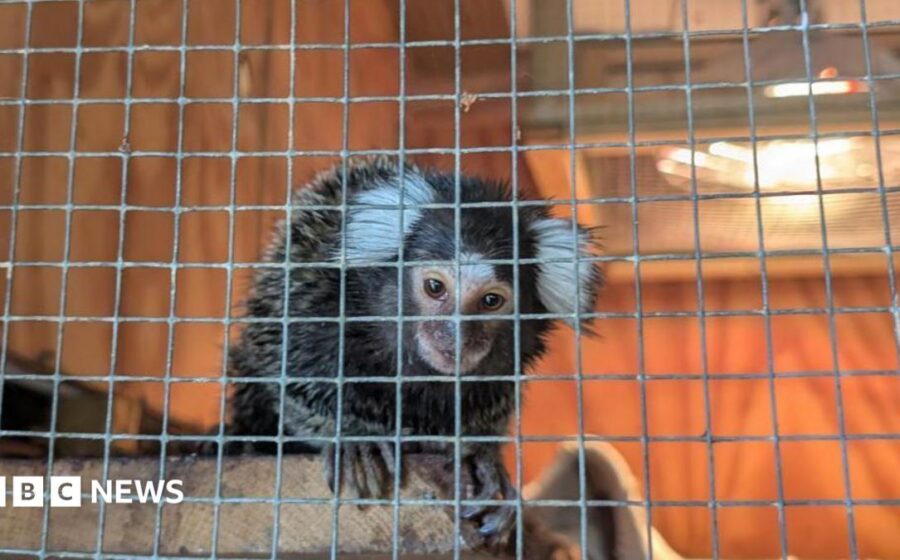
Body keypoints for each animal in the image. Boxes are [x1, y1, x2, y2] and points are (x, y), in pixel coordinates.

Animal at [223, 155, 602, 550]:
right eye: (435, 287)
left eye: (491, 301)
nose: (456, 336)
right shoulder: (311, 299)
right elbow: (295, 381)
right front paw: (355, 439)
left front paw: (482, 459)